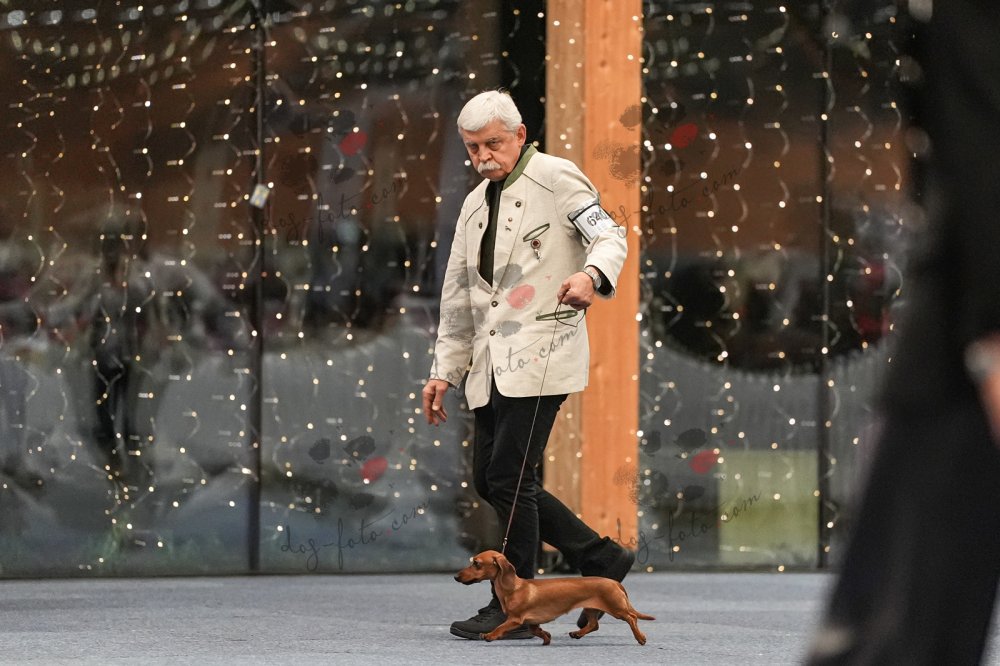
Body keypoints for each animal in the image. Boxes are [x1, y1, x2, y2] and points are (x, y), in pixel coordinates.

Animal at [453, 549, 654, 645]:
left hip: (616, 608)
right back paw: (577, 633)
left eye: (477, 563)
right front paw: (547, 637)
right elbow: (537, 631)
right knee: (593, 625)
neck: (514, 588)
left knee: (632, 617)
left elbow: (500, 627)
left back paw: (640, 638)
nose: (455, 577)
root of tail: (615, 582)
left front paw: (489, 635)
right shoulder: (532, 622)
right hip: (590, 608)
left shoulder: (515, 619)